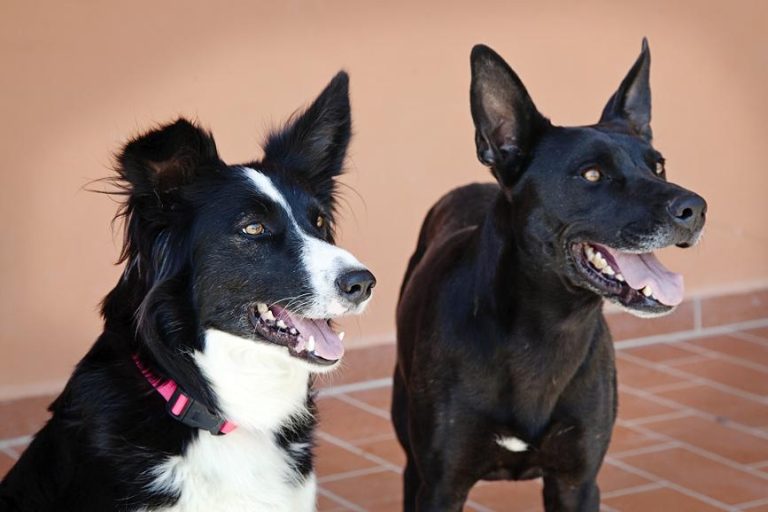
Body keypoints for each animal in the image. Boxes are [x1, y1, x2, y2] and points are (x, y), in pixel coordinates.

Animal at [392, 41, 704, 512]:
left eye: (659, 166)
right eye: (591, 174)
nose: (696, 208)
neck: (547, 330)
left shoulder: (577, 483)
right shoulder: (442, 487)